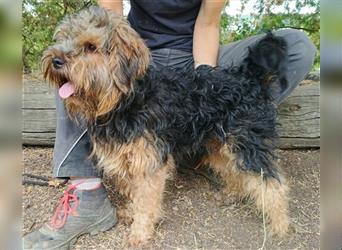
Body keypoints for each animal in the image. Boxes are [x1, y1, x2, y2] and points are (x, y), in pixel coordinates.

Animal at [42, 6, 288, 247]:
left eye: (91, 47)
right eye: (63, 39)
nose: (56, 60)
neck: (126, 100)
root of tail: (248, 78)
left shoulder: (149, 162)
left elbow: (145, 201)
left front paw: (140, 233)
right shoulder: (128, 157)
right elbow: (135, 193)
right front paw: (132, 213)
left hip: (246, 144)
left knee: (272, 184)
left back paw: (280, 226)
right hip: (218, 144)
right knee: (234, 170)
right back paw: (232, 194)